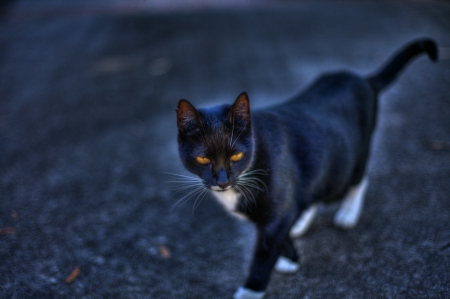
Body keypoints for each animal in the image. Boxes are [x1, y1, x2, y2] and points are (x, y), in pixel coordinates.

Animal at [175, 39, 436, 299]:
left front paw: (251, 289)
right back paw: (301, 219)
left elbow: (264, 250)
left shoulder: (276, 209)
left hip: (353, 155)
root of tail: (363, 79)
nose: (222, 180)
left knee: (357, 178)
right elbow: (280, 229)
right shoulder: (278, 213)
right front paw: (291, 257)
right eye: (202, 159)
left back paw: (348, 212)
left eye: (236, 155)